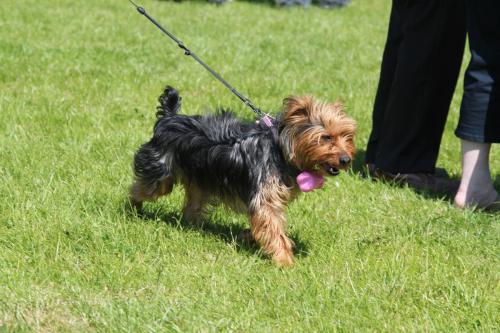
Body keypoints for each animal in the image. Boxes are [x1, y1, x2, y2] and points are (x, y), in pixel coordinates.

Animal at [129, 86, 356, 268]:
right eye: (326, 137)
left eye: (347, 137)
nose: (346, 159)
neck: (281, 151)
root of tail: (169, 118)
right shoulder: (264, 197)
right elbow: (272, 227)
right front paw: (285, 261)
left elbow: (268, 225)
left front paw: (248, 236)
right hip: (160, 170)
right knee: (142, 189)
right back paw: (133, 209)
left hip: (200, 179)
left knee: (194, 204)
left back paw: (195, 226)